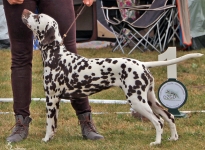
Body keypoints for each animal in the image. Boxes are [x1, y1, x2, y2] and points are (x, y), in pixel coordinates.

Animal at [21, 9, 203, 145]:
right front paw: (51, 138)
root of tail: (142, 64)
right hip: (150, 99)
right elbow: (54, 125)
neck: (56, 55)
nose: (25, 10)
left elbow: (48, 124)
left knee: (158, 121)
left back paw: (157, 142)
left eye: (37, 16)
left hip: (137, 101)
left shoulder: (51, 99)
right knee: (169, 117)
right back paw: (173, 138)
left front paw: (45, 140)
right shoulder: (56, 100)